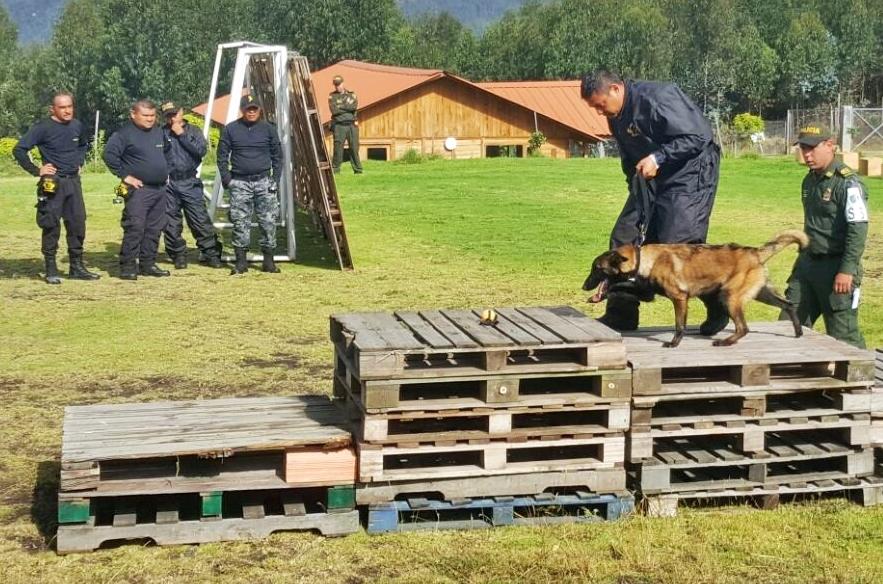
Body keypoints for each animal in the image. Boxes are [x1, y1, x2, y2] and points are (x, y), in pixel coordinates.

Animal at [584, 228, 812, 346]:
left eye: (596, 269)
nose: (584, 286)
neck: (645, 259)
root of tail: (755, 252)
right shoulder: (647, 292)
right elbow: (620, 288)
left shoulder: (679, 298)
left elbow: (680, 325)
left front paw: (674, 343)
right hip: (761, 294)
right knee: (789, 305)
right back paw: (799, 332)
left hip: (730, 297)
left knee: (743, 327)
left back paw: (726, 341)